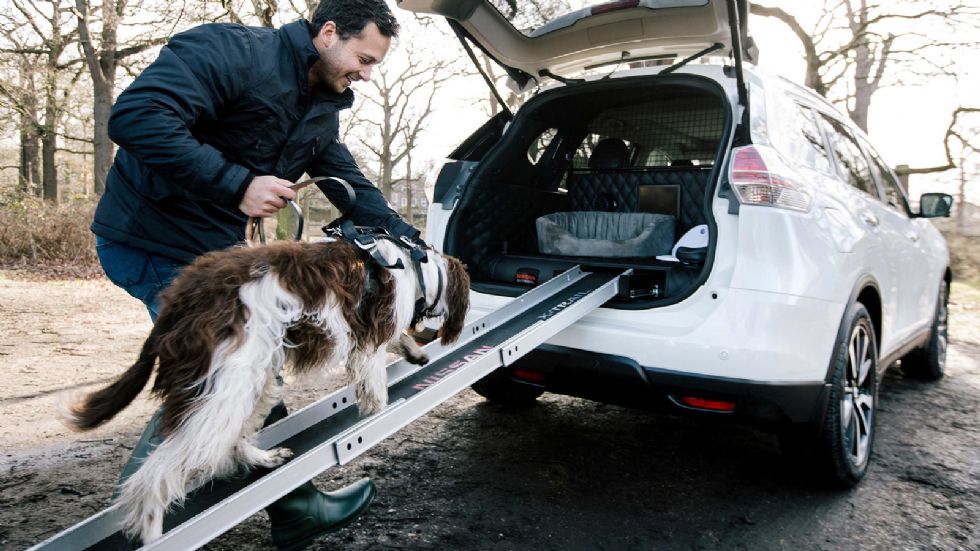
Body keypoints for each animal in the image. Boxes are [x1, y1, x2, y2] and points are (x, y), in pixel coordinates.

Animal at [63, 237, 468, 544]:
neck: (414, 266)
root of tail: (179, 300)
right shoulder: (368, 339)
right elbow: (375, 384)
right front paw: (380, 410)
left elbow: (395, 344)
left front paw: (415, 352)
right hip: (225, 383)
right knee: (157, 471)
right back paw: (152, 532)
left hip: (251, 376)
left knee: (227, 440)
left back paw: (264, 459)